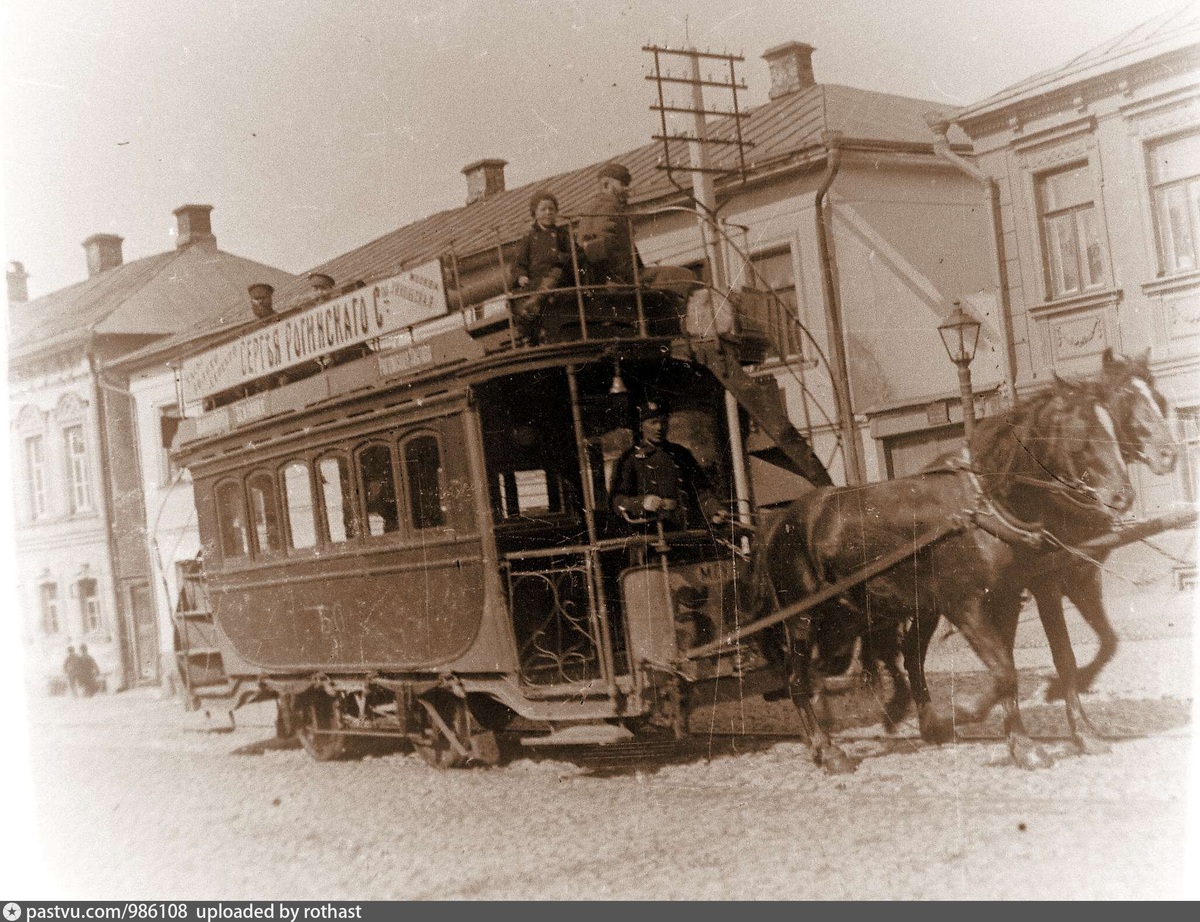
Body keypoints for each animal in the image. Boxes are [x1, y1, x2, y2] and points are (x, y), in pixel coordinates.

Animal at [748, 372, 1132, 768]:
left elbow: (1047, 662)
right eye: (1081, 434)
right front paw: (972, 715)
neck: (986, 506)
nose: (1123, 496)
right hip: (804, 619)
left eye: (1114, 426)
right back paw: (828, 748)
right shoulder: (965, 605)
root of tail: (778, 523)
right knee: (798, 679)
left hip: (850, 616)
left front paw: (1055, 737)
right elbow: (1003, 672)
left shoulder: (1014, 594)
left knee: (870, 664)